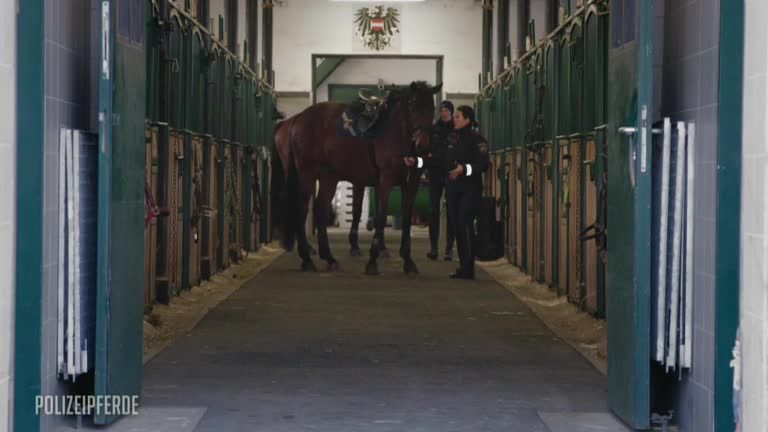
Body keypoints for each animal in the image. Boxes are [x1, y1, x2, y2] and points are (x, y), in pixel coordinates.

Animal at [272, 82, 440, 274]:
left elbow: (405, 218)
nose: (423, 144)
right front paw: (372, 260)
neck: (396, 134)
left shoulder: (411, 183)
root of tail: (297, 120)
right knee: (302, 209)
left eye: (432, 107)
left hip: (328, 178)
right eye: (412, 105)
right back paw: (307, 259)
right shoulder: (384, 181)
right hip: (306, 175)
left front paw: (408, 261)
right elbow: (379, 217)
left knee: (320, 209)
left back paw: (328, 257)